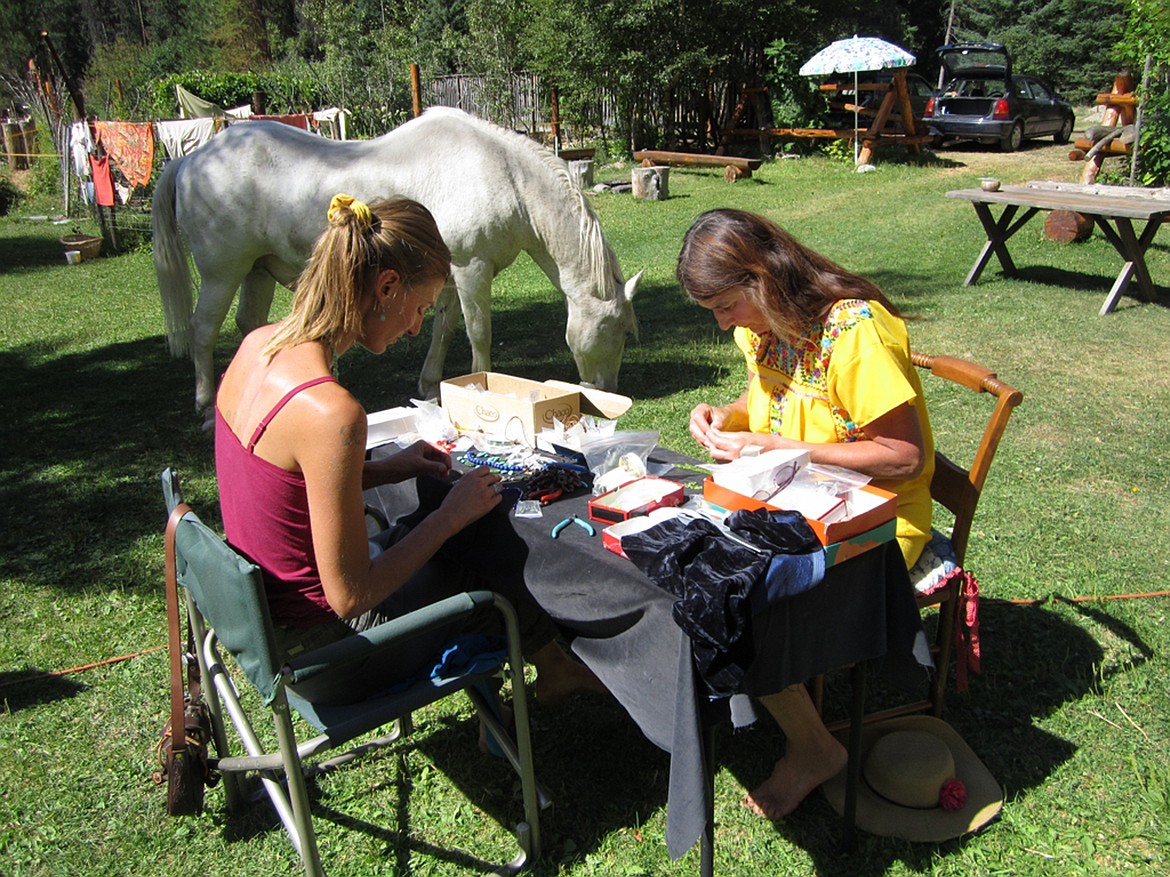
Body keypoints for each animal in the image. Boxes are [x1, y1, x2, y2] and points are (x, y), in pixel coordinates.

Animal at [152, 106, 641, 423]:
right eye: (619, 332)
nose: (609, 393)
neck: (503, 175)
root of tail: (190, 160)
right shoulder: (472, 268)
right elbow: (479, 333)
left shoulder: (451, 275)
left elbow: (444, 328)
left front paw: (430, 385)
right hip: (222, 273)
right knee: (202, 330)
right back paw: (205, 405)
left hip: (255, 271)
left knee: (249, 326)